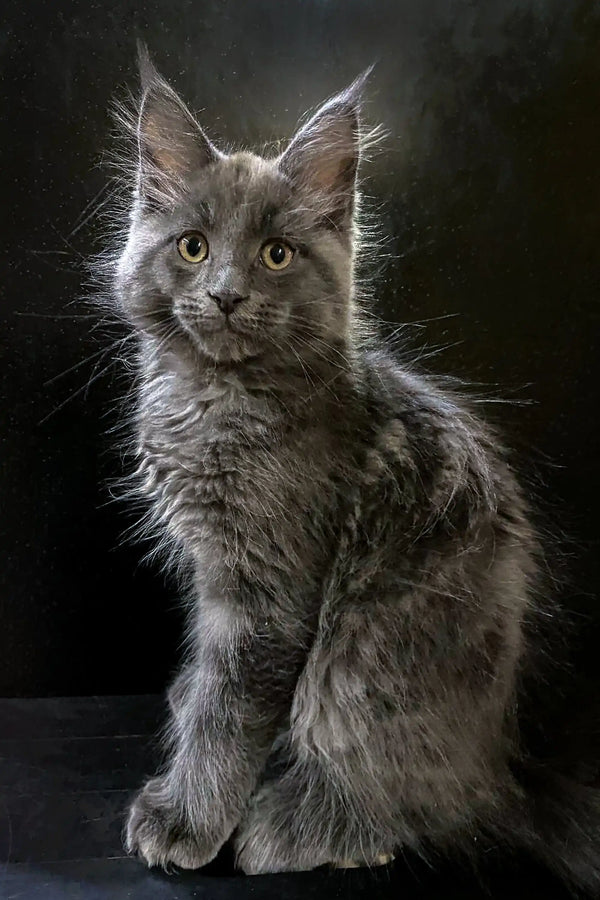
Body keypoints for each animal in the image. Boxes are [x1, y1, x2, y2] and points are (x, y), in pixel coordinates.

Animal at [108, 51, 600, 892]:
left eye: (276, 254)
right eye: (193, 247)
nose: (226, 295)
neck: (217, 397)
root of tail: (505, 770)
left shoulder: (267, 593)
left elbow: (226, 712)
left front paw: (187, 822)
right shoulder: (213, 573)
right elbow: (202, 688)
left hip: (368, 666)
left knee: (412, 803)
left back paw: (295, 830)